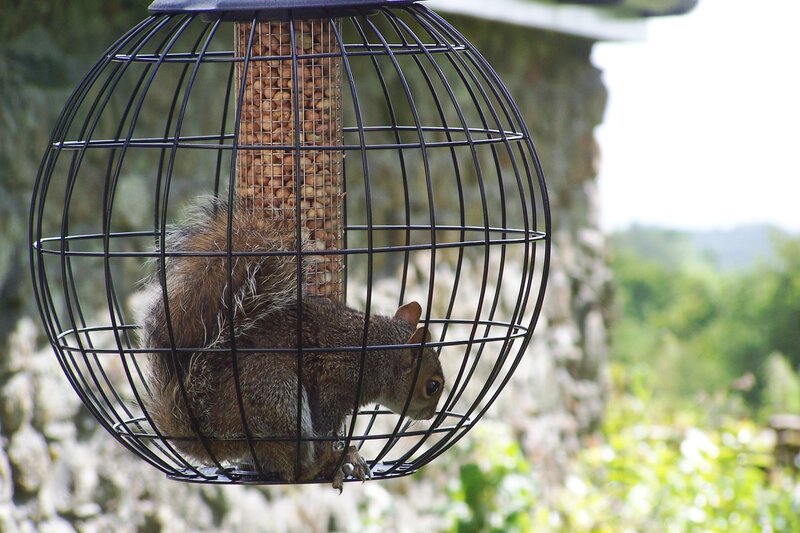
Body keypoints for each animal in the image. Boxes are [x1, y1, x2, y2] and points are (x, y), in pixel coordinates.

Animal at [140, 198, 444, 491]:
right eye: (433, 386)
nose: (430, 415)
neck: (376, 353)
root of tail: (210, 430)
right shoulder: (335, 383)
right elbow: (324, 423)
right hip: (277, 398)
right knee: (295, 467)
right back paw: (332, 459)